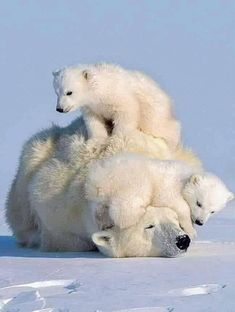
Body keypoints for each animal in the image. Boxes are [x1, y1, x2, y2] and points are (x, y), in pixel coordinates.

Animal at [53, 62, 181, 150]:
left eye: (69, 92)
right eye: (57, 92)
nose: (59, 109)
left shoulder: (118, 96)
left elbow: (126, 113)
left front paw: (115, 140)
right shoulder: (92, 108)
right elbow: (94, 122)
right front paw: (96, 142)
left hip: (154, 112)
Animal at [85, 152, 232, 238]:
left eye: (213, 211)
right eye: (199, 203)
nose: (200, 222)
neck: (185, 176)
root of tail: (97, 178)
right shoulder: (169, 187)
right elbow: (179, 205)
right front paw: (191, 230)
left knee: (99, 209)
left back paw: (103, 222)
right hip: (130, 180)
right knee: (127, 206)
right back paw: (139, 212)